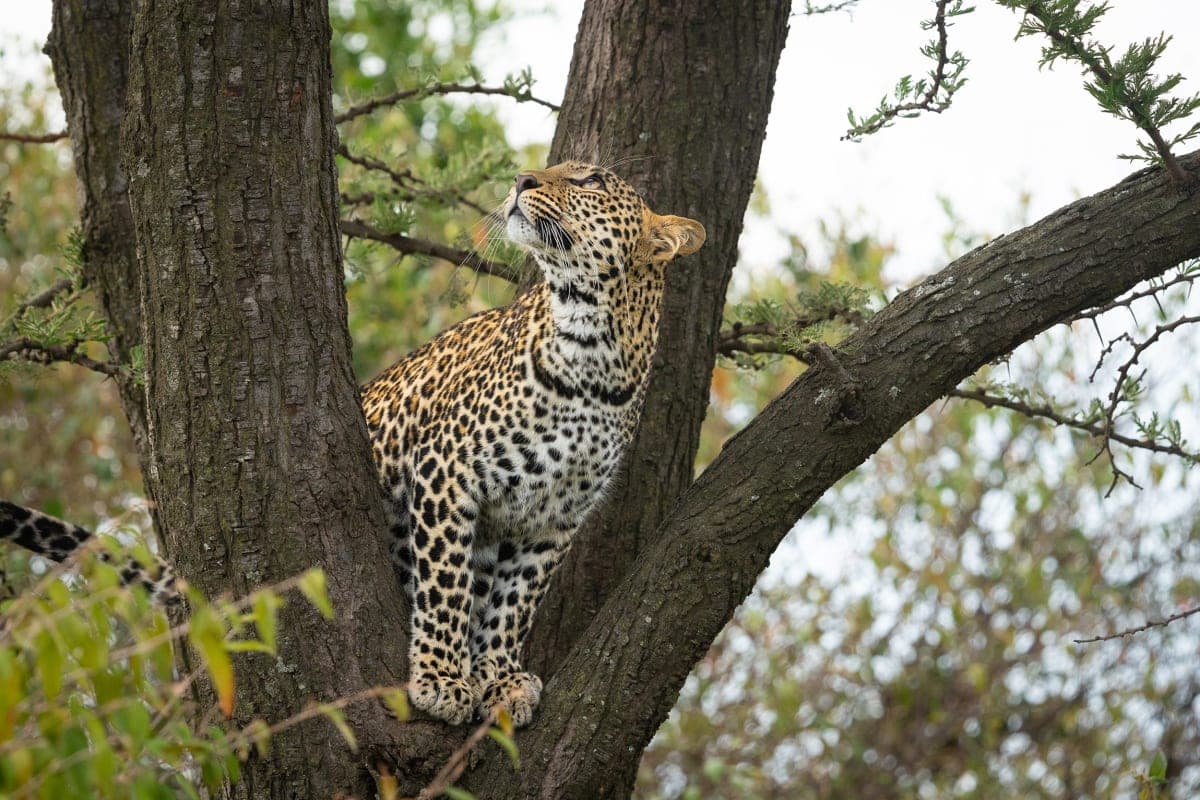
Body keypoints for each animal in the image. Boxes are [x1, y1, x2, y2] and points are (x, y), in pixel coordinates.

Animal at [2, 161, 705, 728]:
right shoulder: (448, 471)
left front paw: (500, 679)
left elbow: (513, 606)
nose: (521, 179)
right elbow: (447, 586)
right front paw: (442, 679)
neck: (595, 353)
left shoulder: (551, 522)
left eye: (592, 180)